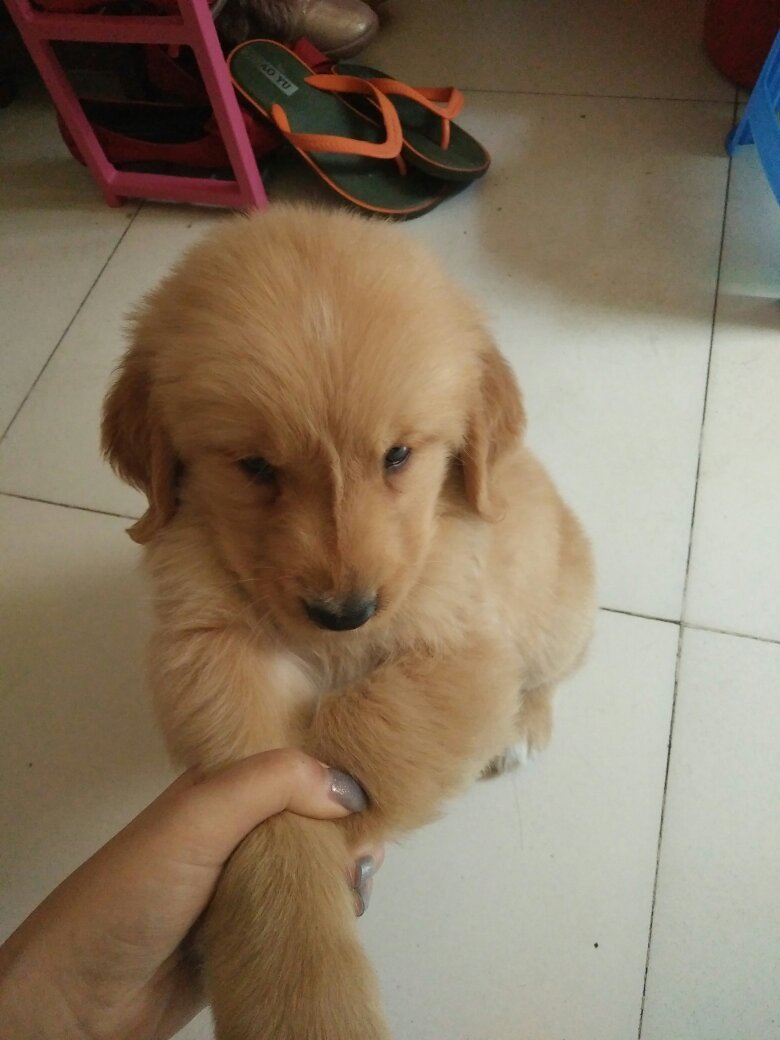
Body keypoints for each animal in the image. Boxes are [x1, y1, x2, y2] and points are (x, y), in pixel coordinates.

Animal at [102, 205, 595, 1040]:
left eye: (398, 455)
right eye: (255, 467)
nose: (345, 614)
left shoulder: (464, 651)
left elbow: (362, 729)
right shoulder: (214, 650)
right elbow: (267, 812)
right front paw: (298, 992)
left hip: (562, 610)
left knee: (550, 674)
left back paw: (524, 727)